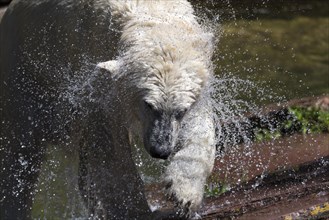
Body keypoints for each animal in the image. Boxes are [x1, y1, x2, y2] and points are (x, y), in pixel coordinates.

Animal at [0, 0, 215, 219]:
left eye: (181, 111)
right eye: (148, 105)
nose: (160, 149)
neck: (152, 16)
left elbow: (199, 125)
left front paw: (184, 194)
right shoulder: (96, 79)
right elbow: (110, 148)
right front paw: (137, 211)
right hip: (25, 72)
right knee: (21, 152)